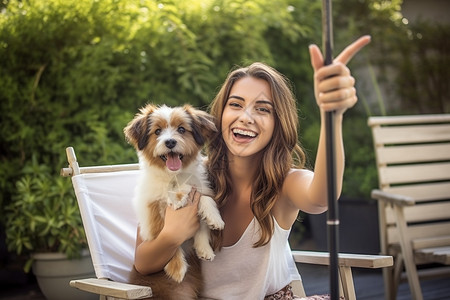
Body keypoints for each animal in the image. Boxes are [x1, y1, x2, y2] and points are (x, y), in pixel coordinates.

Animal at [124, 103, 224, 300]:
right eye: (157, 131)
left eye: (181, 129)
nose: (170, 142)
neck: (174, 177)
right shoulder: (152, 208)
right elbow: (166, 236)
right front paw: (177, 268)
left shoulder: (198, 189)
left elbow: (205, 204)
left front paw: (209, 236)